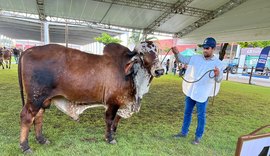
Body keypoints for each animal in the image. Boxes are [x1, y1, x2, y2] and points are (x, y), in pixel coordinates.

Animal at [19, 41, 163, 152]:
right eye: (141, 54)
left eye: (157, 51)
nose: (159, 70)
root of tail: (29, 50)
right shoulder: (113, 102)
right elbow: (110, 120)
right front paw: (110, 138)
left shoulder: (122, 103)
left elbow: (116, 120)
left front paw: (113, 133)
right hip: (35, 98)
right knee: (27, 117)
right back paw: (25, 146)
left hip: (43, 100)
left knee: (38, 117)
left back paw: (41, 140)